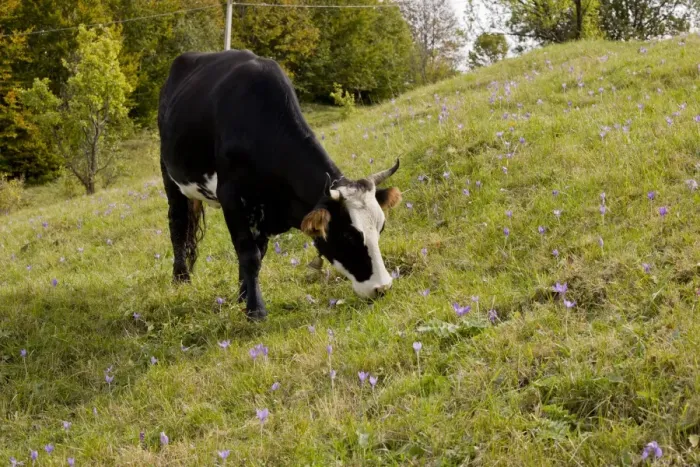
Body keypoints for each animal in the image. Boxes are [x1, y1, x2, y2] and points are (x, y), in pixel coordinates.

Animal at [158, 49, 402, 320]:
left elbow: (258, 252)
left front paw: (243, 296)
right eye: (349, 235)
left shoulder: (263, 210)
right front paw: (255, 310)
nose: (382, 288)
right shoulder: (230, 196)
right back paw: (181, 278)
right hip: (169, 176)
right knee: (178, 224)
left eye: (380, 228)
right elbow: (249, 253)